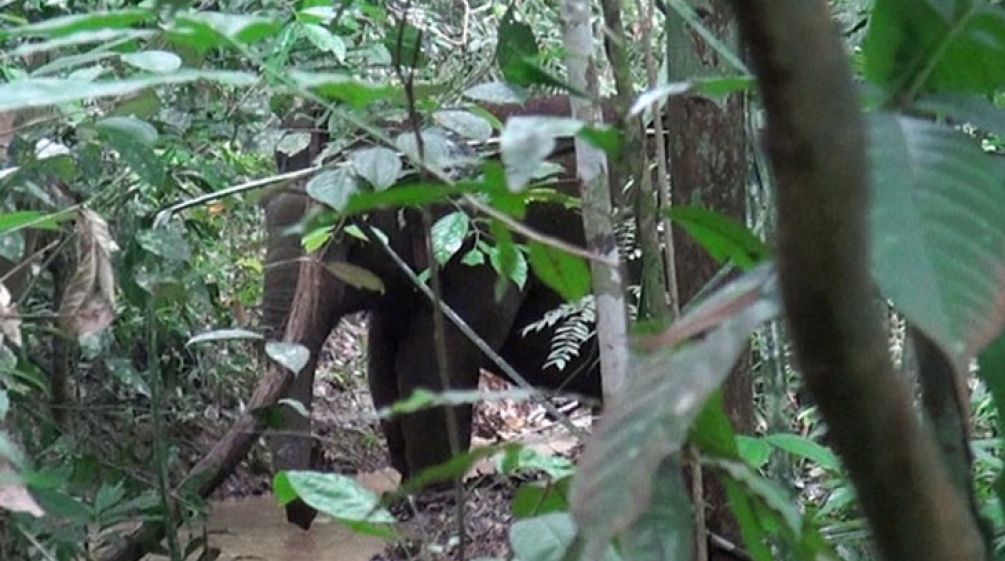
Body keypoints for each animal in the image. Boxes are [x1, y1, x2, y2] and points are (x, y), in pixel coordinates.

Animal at [263, 96, 607, 526]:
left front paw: (431, 494)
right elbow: (382, 360)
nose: (318, 455)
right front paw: (403, 487)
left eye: (346, 238)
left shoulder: (485, 244)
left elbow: (431, 354)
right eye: (264, 215)